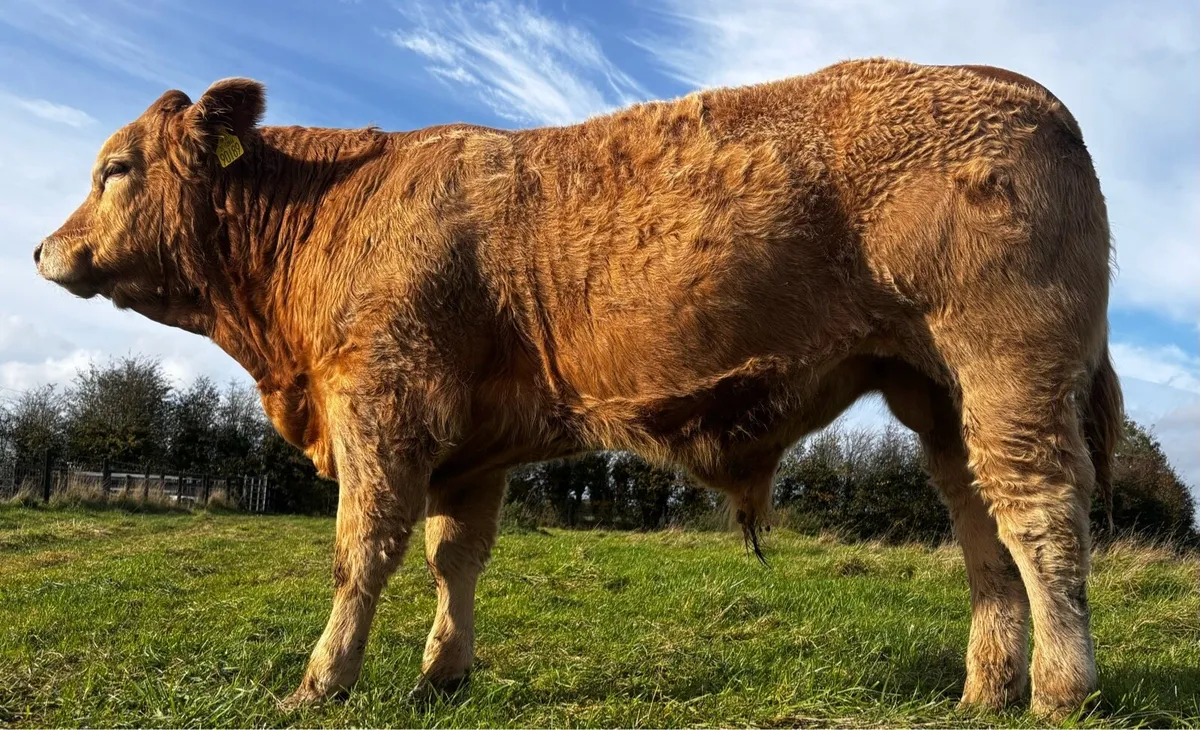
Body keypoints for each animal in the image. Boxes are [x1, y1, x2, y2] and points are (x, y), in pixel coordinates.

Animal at [35, 58, 1122, 719]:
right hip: (936, 392)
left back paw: (1061, 689)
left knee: (1038, 513)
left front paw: (321, 683)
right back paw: (986, 690)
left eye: (117, 167)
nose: (44, 248)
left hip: (1009, 365)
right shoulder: (471, 445)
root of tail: (1030, 95)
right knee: (981, 526)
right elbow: (454, 558)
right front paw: (442, 674)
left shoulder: (383, 405)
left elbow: (361, 553)